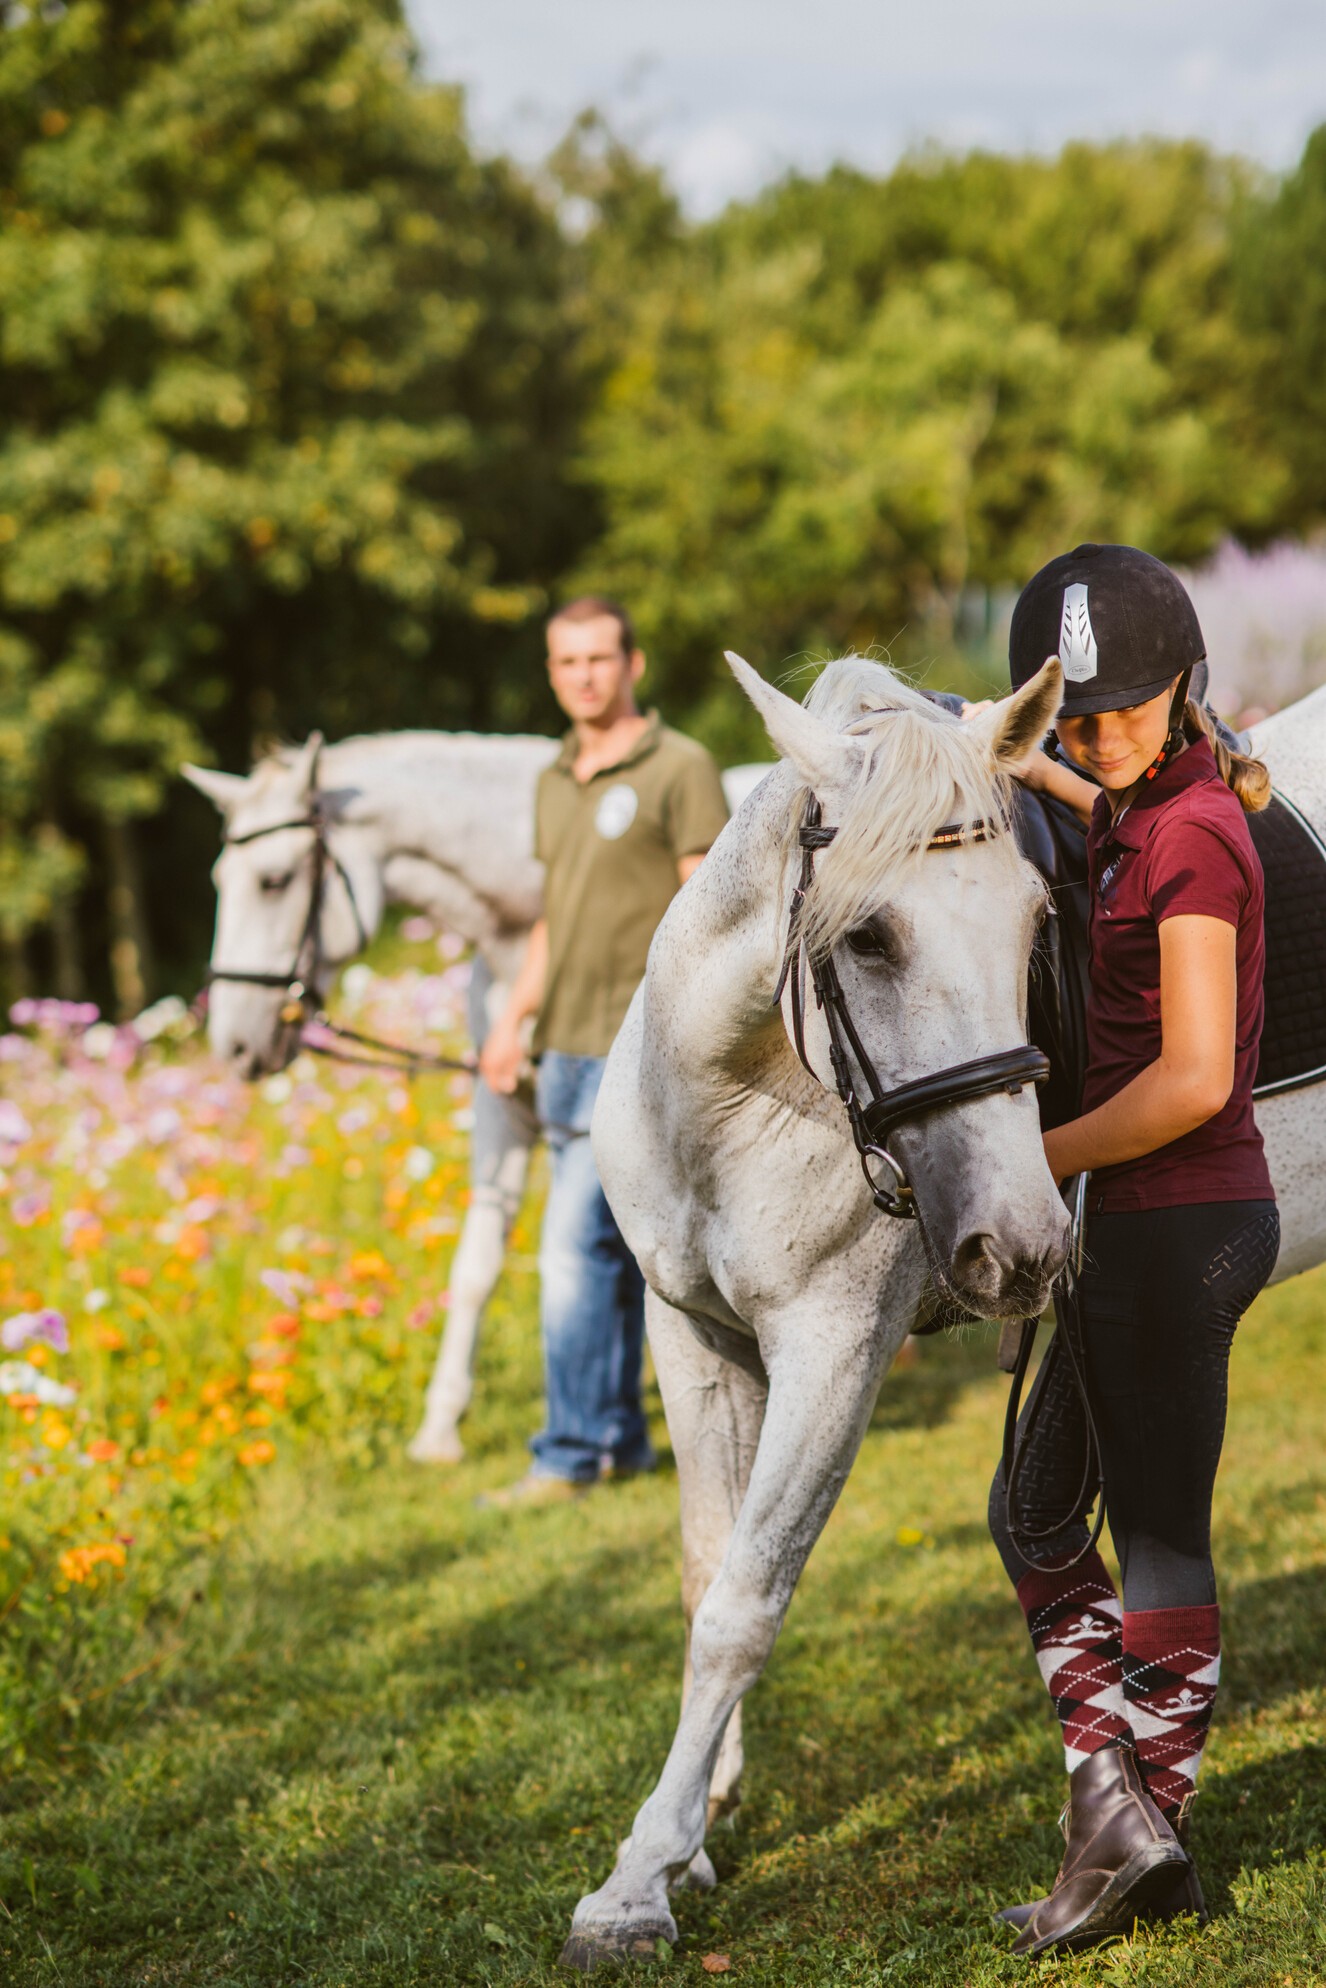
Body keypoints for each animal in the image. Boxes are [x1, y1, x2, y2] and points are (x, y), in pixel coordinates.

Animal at [181, 731, 771, 1463]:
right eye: (218, 882)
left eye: (274, 880)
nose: (234, 1044)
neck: (523, 923)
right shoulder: (503, 1108)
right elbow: (478, 1267)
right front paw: (440, 1429)